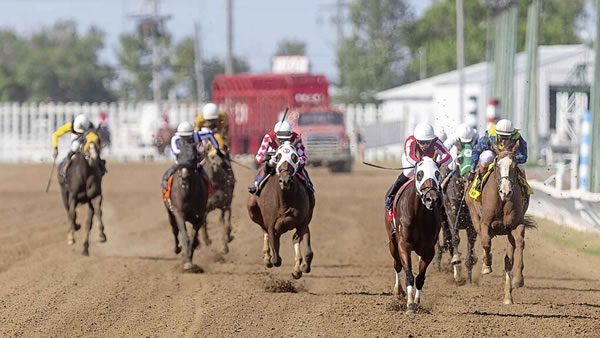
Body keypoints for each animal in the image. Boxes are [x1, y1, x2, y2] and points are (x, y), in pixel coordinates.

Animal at [247, 141, 316, 278]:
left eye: (294, 157)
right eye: (278, 157)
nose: (285, 181)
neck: (285, 201)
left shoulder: (303, 223)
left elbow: (308, 252)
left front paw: (302, 268)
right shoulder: (271, 224)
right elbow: (276, 258)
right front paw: (269, 258)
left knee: (295, 238)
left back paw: (296, 268)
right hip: (252, 209)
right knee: (265, 231)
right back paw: (267, 257)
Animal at [386, 157, 442, 312]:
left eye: (437, 173)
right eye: (420, 174)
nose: (431, 199)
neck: (419, 215)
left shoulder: (429, 250)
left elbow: (420, 278)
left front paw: (416, 301)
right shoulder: (403, 245)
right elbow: (409, 274)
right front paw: (410, 304)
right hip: (392, 242)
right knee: (397, 265)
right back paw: (399, 291)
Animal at [464, 141, 536, 304]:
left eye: (514, 166)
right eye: (497, 164)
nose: (505, 192)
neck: (502, 201)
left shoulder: (515, 225)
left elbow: (520, 243)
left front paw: (518, 280)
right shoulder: (484, 223)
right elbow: (486, 242)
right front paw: (486, 265)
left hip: (508, 233)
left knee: (509, 259)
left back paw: (508, 297)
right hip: (474, 215)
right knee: (484, 239)